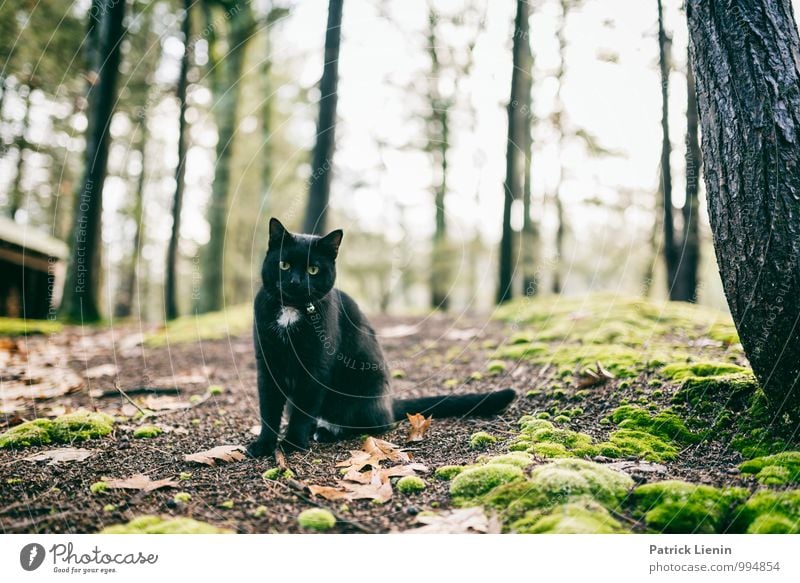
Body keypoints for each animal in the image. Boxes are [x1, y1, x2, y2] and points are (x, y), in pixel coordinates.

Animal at [247, 219, 516, 460]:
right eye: (284, 264)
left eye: (313, 269)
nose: (295, 281)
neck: (291, 311)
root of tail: (388, 403)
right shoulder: (267, 363)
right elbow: (269, 409)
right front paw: (264, 445)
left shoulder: (315, 367)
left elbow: (303, 411)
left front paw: (292, 444)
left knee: (371, 424)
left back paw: (325, 431)